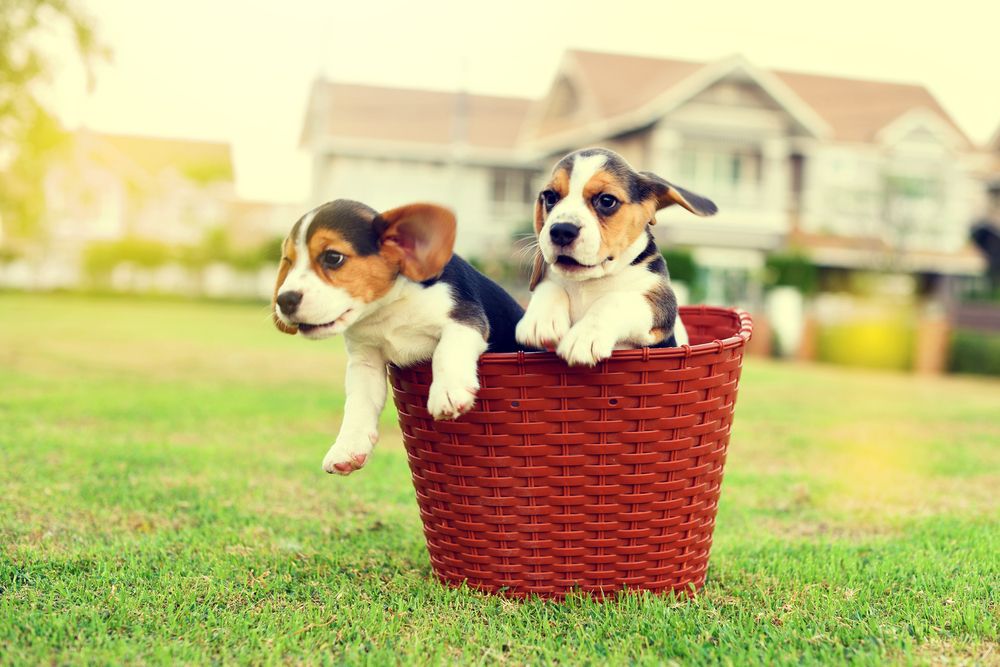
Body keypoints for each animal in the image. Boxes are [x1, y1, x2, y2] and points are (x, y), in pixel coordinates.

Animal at [272, 198, 524, 474]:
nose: (284, 300)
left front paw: (447, 391)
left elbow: (446, 350)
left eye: (333, 257)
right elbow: (358, 404)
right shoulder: (365, 361)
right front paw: (348, 446)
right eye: (288, 261)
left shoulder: (464, 318)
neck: (388, 308)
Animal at [516, 147, 720, 366]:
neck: (589, 282)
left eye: (607, 200)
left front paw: (585, 336)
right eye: (550, 197)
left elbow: (614, 300)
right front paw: (540, 320)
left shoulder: (661, 303)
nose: (561, 230)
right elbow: (550, 286)